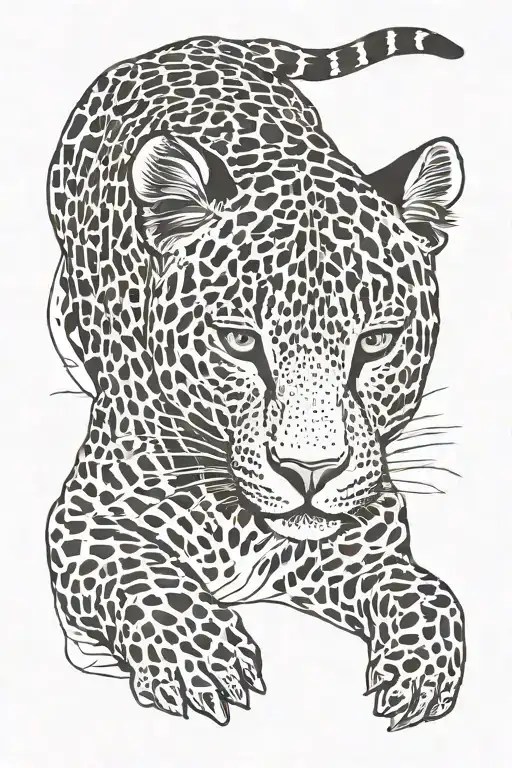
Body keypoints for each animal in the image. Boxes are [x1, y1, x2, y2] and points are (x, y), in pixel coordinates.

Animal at [46, 26, 466, 733]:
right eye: (241, 342)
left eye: (375, 342)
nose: (309, 472)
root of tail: (206, 42)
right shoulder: (85, 519)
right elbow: (141, 576)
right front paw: (200, 656)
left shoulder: (363, 547)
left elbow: (429, 594)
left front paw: (422, 669)